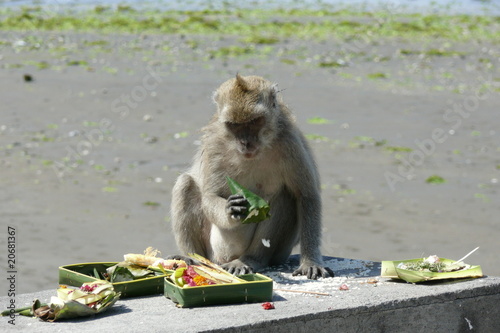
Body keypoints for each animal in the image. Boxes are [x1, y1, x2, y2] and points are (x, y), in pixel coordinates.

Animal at [170, 74, 334, 278]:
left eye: (255, 121)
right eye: (234, 125)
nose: (246, 142)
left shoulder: (289, 142)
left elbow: (306, 195)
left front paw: (310, 262)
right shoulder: (214, 143)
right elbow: (209, 196)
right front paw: (229, 209)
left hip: (280, 252)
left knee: (284, 196)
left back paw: (250, 259)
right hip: (211, 250)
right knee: (185, 184)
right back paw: (191, 257)